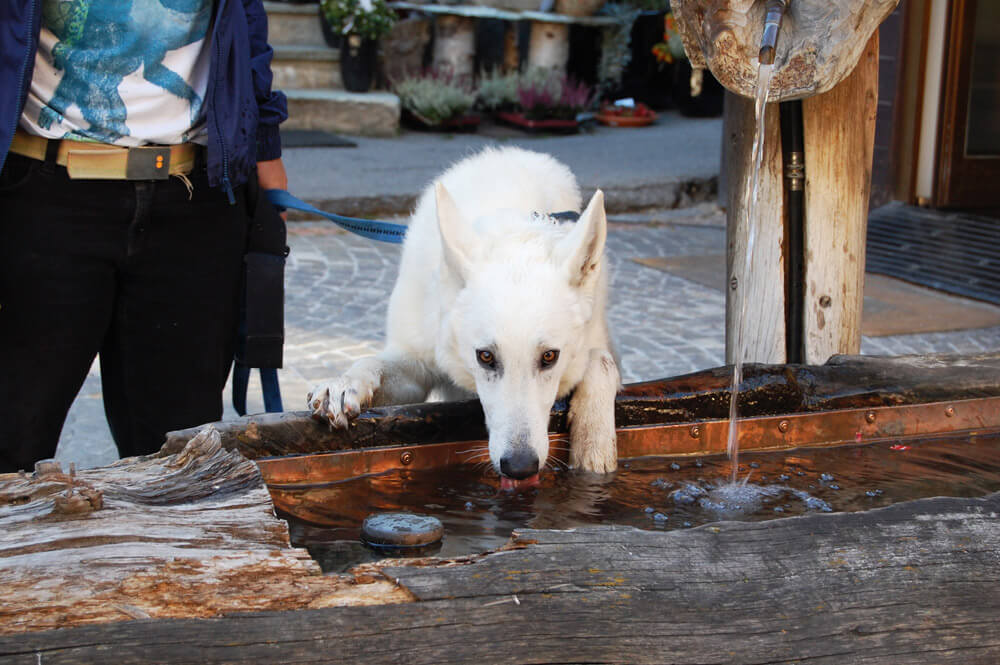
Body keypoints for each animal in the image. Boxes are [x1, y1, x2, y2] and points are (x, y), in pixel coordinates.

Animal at [307, 147, 620, 488]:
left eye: (550, 356)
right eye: (485, 357)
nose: (520, 467)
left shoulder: (594, 346)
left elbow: (602, 362)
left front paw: (595, 445)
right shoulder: (415, 367)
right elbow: (372, 363)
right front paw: (342, 384)